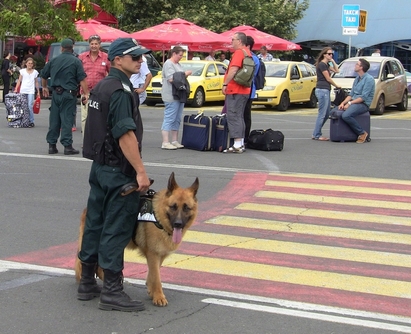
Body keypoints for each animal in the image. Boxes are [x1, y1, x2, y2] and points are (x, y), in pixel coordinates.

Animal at [77, 174, 201, 306]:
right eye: (173, 207)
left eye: (186, 208)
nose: (178, 224)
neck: (159, 218)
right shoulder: (153, 254)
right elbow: (157, 278)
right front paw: (158, 296)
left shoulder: (159, 255)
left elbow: (153, 273)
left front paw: (151, 290)